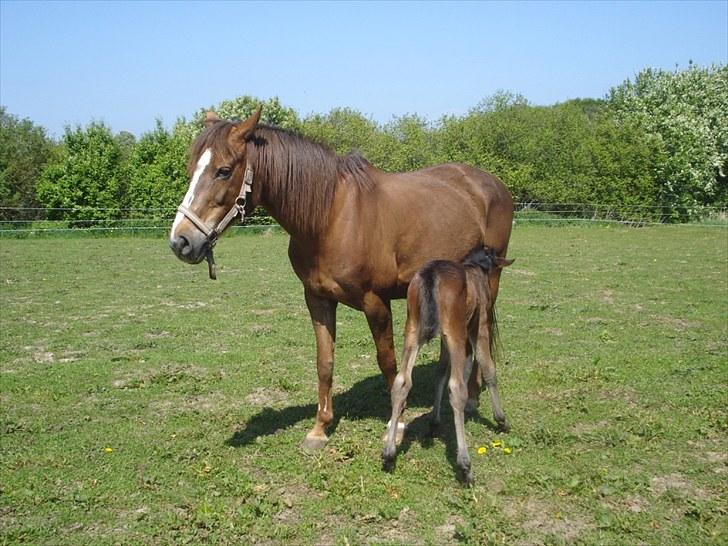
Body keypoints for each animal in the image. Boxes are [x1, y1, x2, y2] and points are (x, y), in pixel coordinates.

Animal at [170, 108, 512, 448]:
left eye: (224, 171)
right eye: (191, 168)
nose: (181, 241)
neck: (331, 217)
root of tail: (492, 184)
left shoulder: (376, 303)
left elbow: (388, 363)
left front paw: (397, 425)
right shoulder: (317, 300)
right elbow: (325, 362)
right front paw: (319, 428)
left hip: (490, 279)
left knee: (480, 335)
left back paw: (472, 396)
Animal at [382, 245, 512, 480]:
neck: (475, 268)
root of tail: (430, 274)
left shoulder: (443, 339)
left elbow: (440, 372)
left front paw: (434, 422)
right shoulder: (479, 325)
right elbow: (487, 367)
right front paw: (501, 419)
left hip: (413, 330)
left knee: (401, 382)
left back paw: (388, 453)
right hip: (455, 331)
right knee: (457, 387)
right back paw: (465, 464)